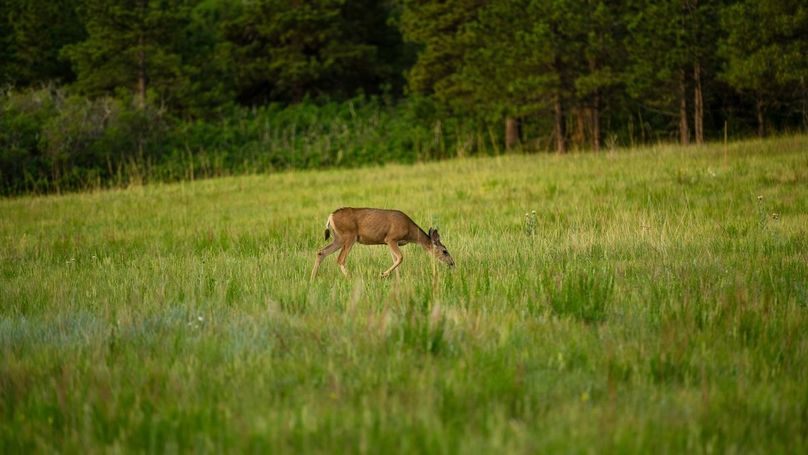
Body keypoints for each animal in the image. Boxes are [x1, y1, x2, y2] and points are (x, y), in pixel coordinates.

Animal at [310, 207, 455, 280]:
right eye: (445, 251)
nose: (452, 264)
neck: (410, 231)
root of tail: (330, 216)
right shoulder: (391, 238)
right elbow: (400, 258)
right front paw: (383, 274)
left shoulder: (390, 242)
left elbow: (395, 259)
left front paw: (395, 278)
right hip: (349, 236)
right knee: (340, 259)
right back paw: (350, 277)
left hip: (338, 238)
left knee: (321, 252)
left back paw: (312, 278)